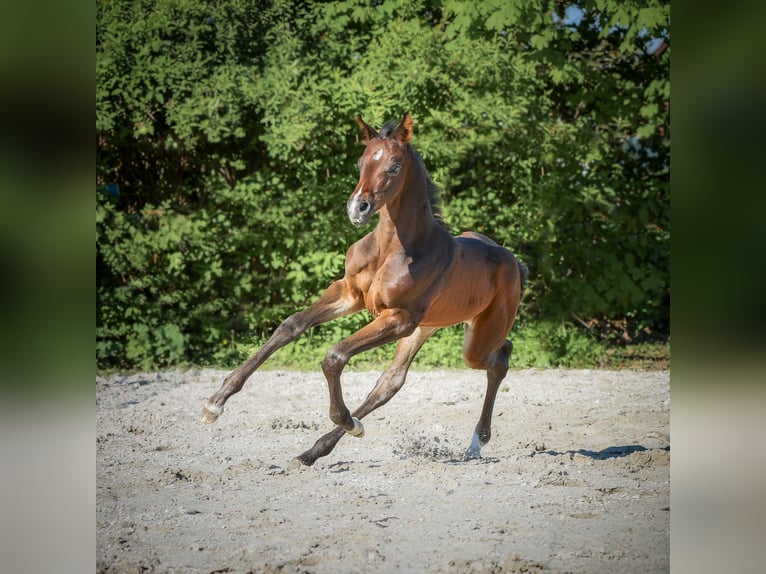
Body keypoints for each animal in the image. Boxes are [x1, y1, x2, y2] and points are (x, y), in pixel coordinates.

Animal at [202, 113, 528, 468]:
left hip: (474, 341)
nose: (358, 208)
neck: (393, 248)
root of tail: (514, 262)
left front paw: (348, 420)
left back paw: (475, 443)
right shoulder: (349, 294)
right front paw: (215, 403)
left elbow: (335, 355)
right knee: (391, 382)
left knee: (499, 360)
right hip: (427, 328)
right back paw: (311, 452)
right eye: (361, 161)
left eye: (395, 166)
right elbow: (291, 325)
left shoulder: (398, 319)